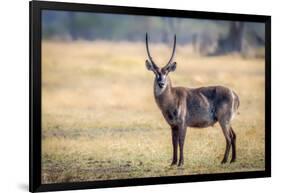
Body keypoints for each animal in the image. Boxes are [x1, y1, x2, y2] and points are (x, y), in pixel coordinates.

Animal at [144, 33, 238, 166]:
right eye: (155, 73)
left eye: (166, 72)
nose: (161, 83)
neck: (172, 97)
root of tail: (234, 93)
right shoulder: (173, 126)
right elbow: (174, 143)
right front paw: (173, 162)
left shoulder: (183, 123)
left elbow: (181, 142)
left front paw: (181, 163)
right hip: (228, 121)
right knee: (234, 135)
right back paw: (233, 160)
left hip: (223, 120)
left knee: (228, 138)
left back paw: (224, 161)